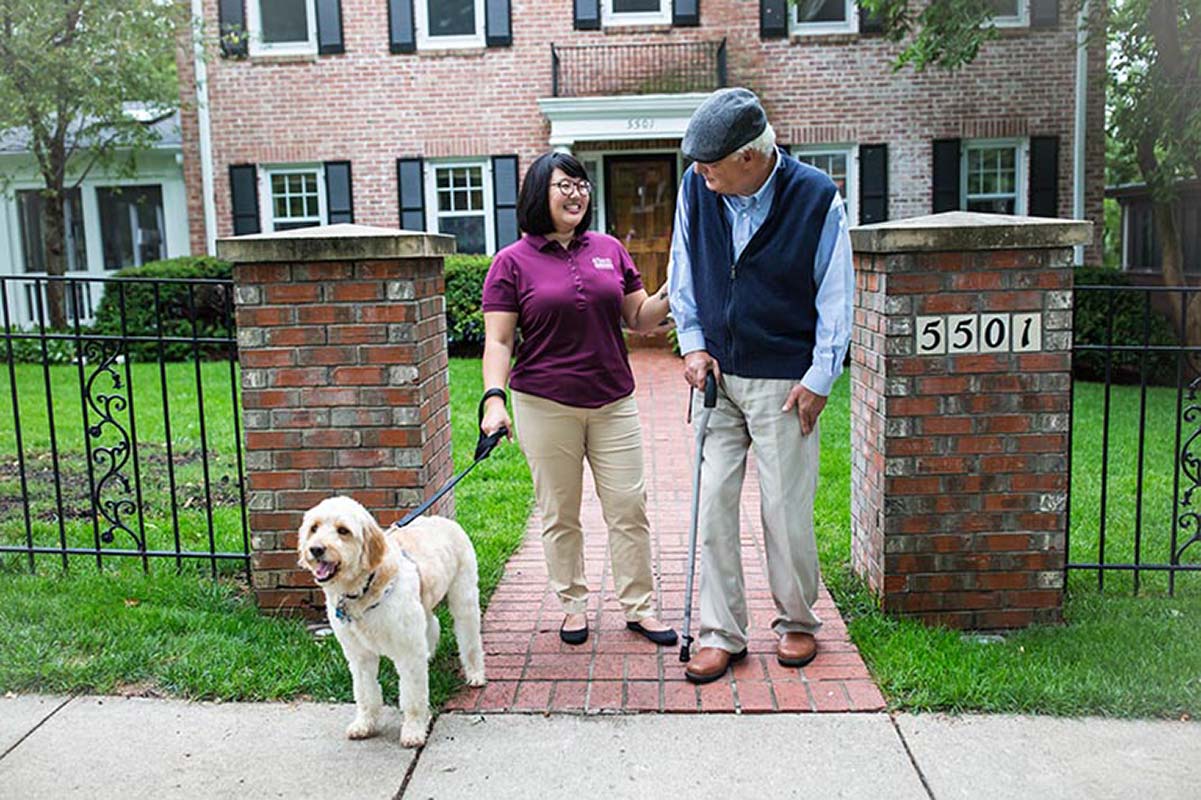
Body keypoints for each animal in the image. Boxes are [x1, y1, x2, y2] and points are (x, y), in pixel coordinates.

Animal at [297, 494, 485, 744]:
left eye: (343, 530)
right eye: (314, 528)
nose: (316, 549)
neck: (363, 590)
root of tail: (443, 520)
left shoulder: (407, 652)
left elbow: (413, 696)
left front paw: (414, 730)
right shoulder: (359, 656)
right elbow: (365, 694)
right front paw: (364, 724)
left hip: (464, 598)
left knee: (469, 639)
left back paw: (475, 673)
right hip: (422, 605)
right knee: (432, 623)